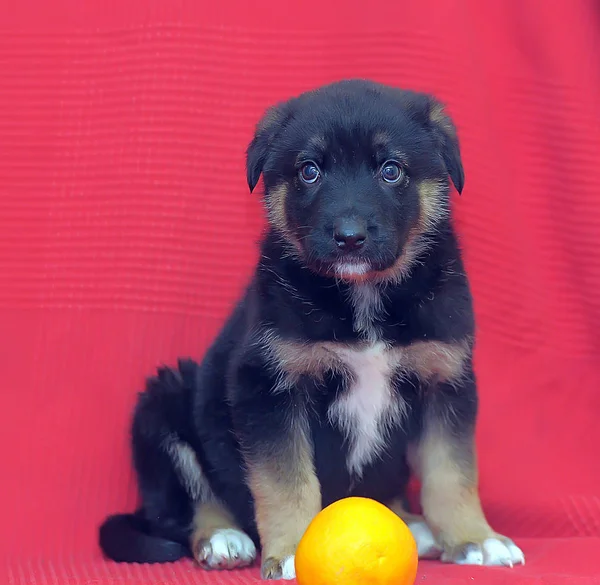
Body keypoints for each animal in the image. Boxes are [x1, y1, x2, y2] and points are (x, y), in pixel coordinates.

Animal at [98, 80, 524, 576]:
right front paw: (291, 552)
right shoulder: (268, 385)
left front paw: (477, 539)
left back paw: (412, 524)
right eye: (309, 171)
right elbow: (286, 481)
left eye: (391, 170)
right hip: (163, 401)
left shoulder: (445, 380)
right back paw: (223, 538)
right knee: (190, 505)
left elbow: (452, 474)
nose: (349, 237)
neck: (363, 295)